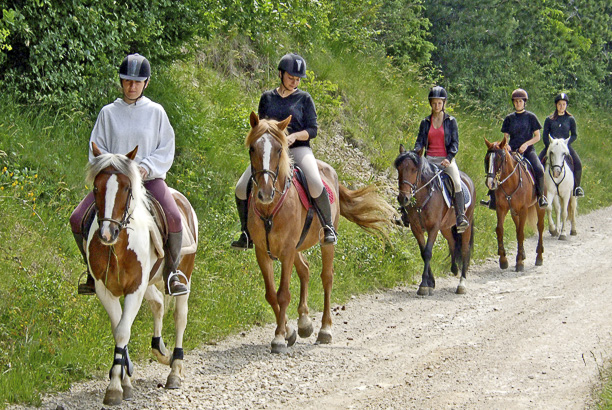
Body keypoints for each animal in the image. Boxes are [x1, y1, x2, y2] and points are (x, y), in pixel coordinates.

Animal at [84, 143, 196, 406]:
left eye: (126, 188)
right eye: (96, 187)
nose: (107, 233)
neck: (118, 246)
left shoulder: (134, 288)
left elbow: (123, 330)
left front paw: (115, 387)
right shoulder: (106, 290)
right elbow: (119, 329)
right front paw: (124, 380)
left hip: (183, 276)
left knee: (180, 317)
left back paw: (174, 370)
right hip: (150, 283)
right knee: (157, 304)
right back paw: (160, 350)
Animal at [245, 111, 394, 352]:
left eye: (278, 150)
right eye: (252, 149)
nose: (265, 193)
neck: (270, 209)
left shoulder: (287, 251)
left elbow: (283, 294)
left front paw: (279, 338)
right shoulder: (262, 251)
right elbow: (271, 295)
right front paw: (289, 331)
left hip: (325, 242)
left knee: (327, 278)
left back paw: (325, 330)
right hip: (298, 246)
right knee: (305, 270)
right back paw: (305, 323)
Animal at [394, 146, 476, 296]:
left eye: (414, 169)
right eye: (399, 168)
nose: (403, 198)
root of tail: (468, 180)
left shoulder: (433, 228)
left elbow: (427, 252)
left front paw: (424, 286)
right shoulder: (416, 228)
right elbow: (423, 252)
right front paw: (430, 282)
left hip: (465, 226)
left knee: (465, 250)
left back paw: (461, 284)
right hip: (445, 227)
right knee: (452, 242)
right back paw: (454, 268)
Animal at [482, 136, 544, 270]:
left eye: (499, 159)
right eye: (487, 159)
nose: (490, 183)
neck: (511, 181)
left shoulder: (523, 209)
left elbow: (521, 233)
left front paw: (519, 262)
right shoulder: (501, 208)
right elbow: (500, 230)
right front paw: (503, 260)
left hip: (539, 206)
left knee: (540, 227)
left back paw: (539, 257)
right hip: (514, 212)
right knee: (517, 226)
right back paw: (523, 254)